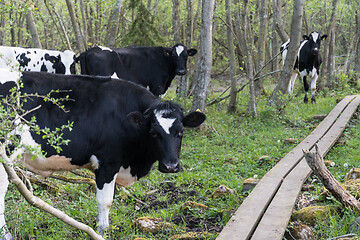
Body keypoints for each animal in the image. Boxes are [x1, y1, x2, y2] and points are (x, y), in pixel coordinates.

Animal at [0, 70, 207, 236]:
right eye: (154, 132)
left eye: (181, 132)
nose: (171, 166)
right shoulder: (107, 163)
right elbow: (105, 200)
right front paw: (102, 231)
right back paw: (5, 233)